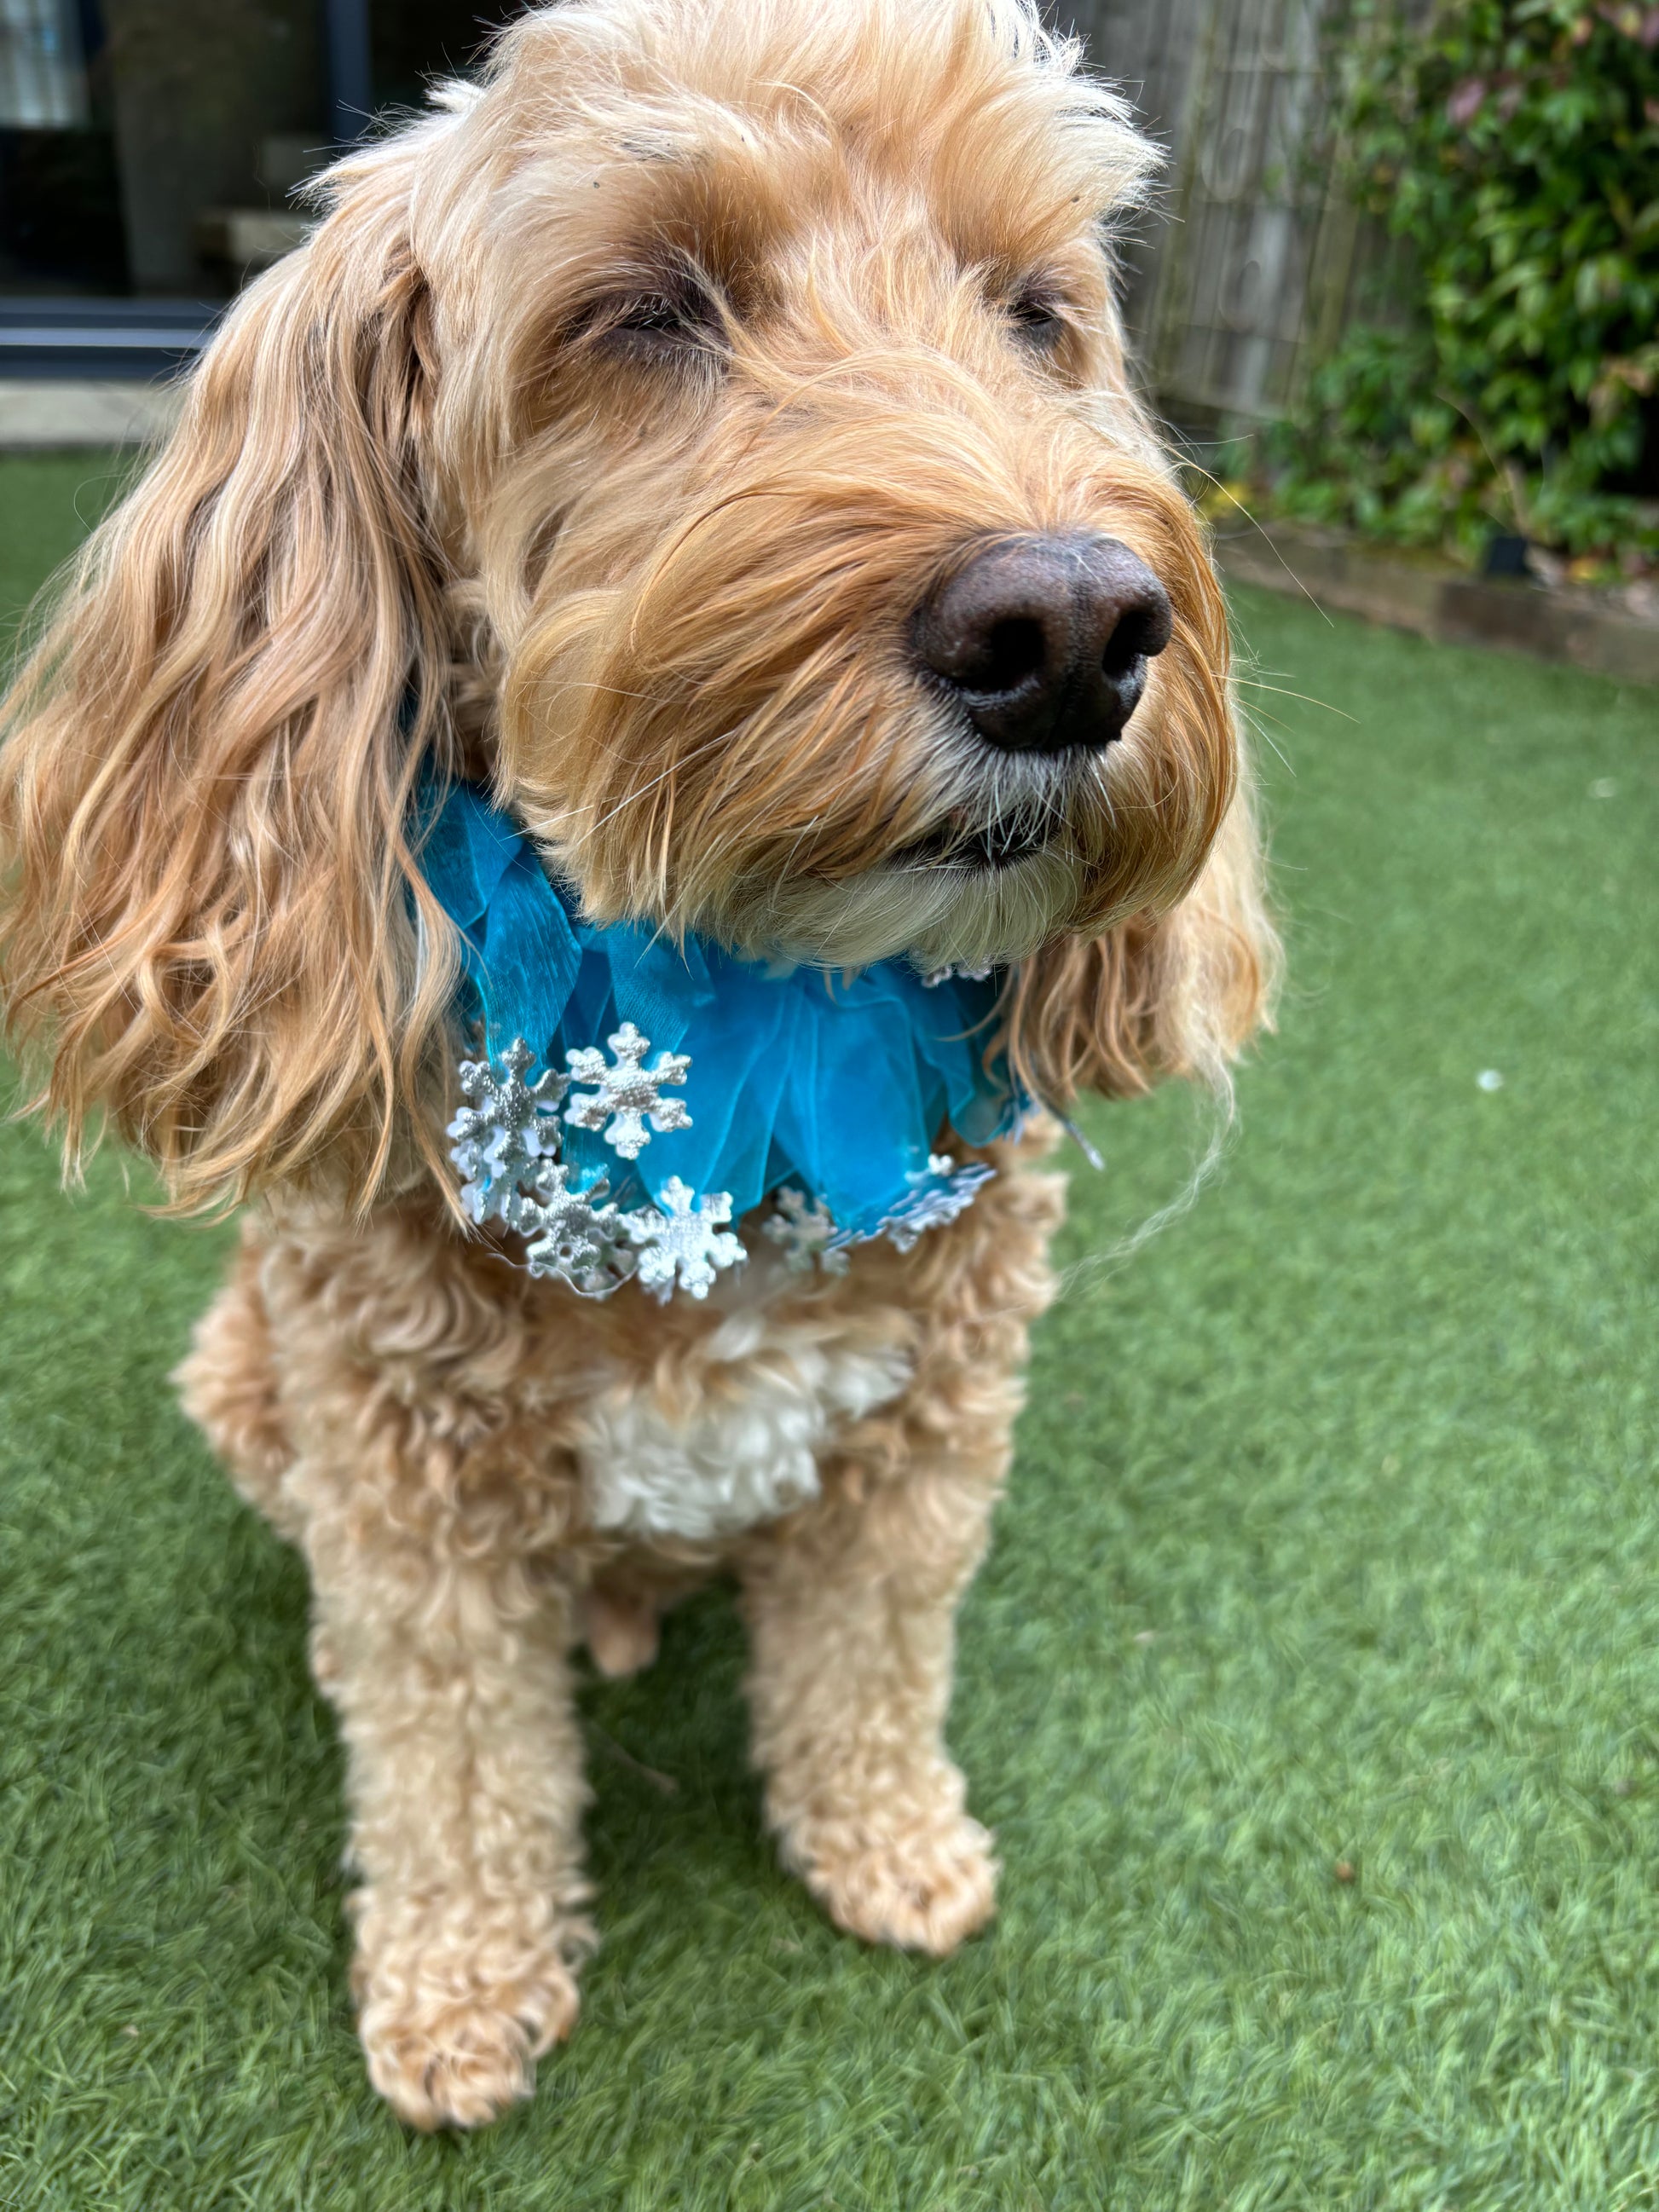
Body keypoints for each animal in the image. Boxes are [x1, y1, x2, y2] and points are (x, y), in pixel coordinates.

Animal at [0, 0, 1274, 2132]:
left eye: (1035, 311)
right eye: (648, 307)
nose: (1073, 631)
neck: (739, 997)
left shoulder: (923, 1439)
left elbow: (868, 1664)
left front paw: (890, 1845)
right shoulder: (407, 1491)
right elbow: (450, 1750)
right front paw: (456, 1988)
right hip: (250, 1377)